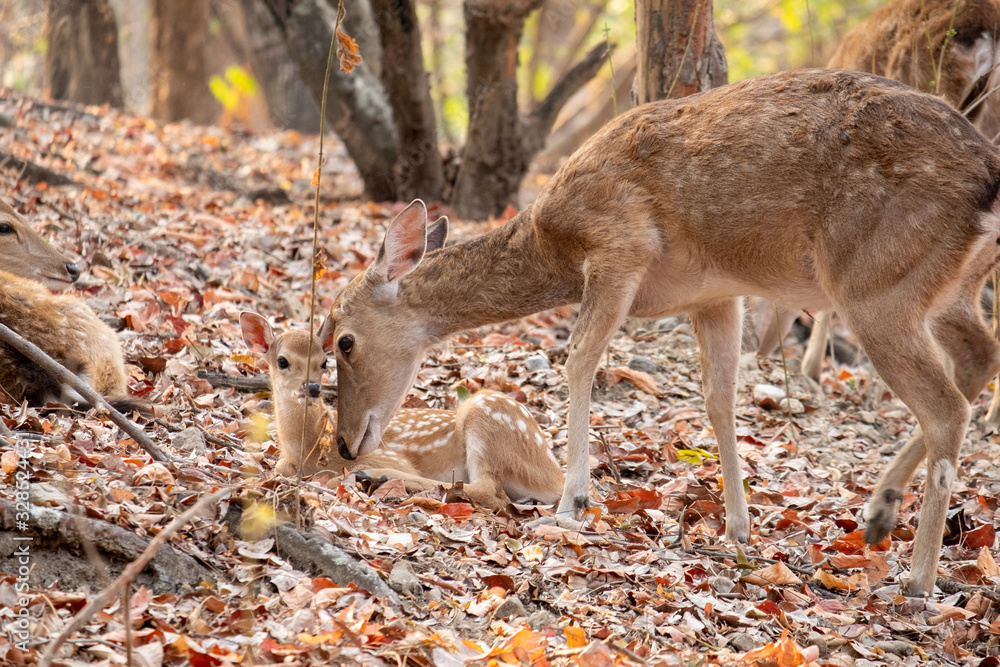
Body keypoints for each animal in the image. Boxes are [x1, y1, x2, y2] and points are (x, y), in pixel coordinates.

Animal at [239, 312, 564, 510]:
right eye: (282, 361)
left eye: (324, 362)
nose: (313, 388)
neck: (310, 449)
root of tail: (555, 477)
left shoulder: (385, 453)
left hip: (486, 415)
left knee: (489, 491)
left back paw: (376, 477)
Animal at [324, 68, 1000, 595]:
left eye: (343, 341)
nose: (346, 445)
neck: (553, 243)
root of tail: (989, 180)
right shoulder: (715, 293)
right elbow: (719, 397)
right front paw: (737, 528)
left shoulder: (618, 247)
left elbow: (579, 360)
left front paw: (573, 504)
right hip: (946, 290)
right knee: (978, 360)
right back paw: (879, 513)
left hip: (875, 284)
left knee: (946, 406)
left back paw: (916, 577)